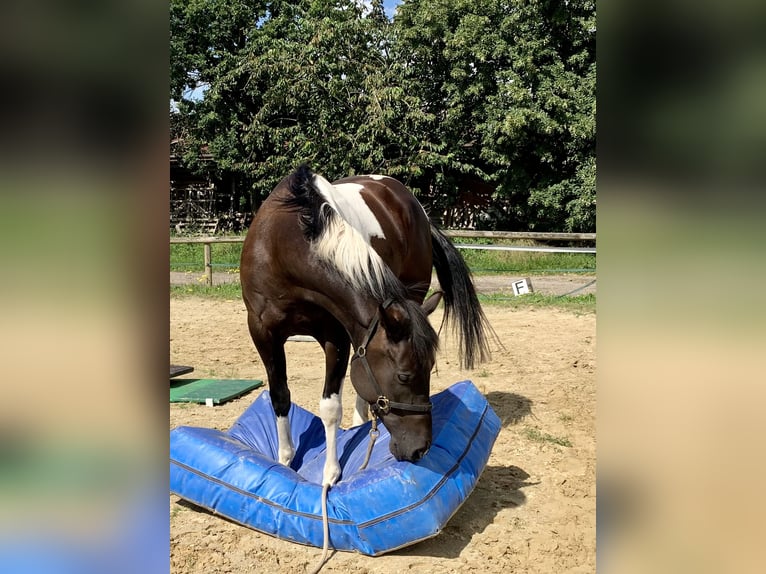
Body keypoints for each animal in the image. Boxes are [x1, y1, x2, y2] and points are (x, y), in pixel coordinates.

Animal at [240, 166, 496, 490]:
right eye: (404, 375)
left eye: (431, 369)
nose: (421, 448)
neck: (286, 246)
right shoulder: (263, 333)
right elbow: (280, 396)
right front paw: (285, 460)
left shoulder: (335, 335)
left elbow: (330, 407)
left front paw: (330, 474)